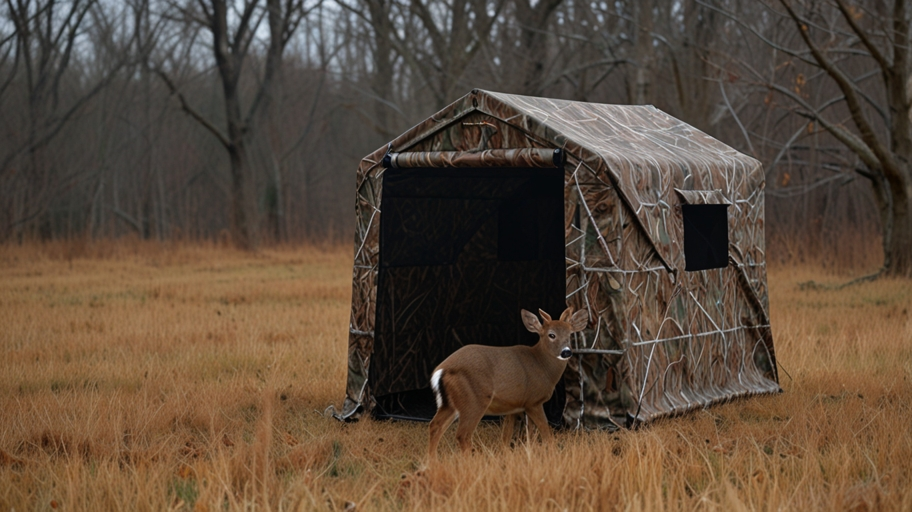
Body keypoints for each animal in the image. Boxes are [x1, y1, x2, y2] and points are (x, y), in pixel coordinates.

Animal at [426, 308, 588, 460]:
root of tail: (441, 370)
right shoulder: (533, 401)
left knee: (435, 426)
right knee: (462, 434)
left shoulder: (514, 406)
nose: (566, 352)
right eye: (551, 335)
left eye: (570, 335)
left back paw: (433, 462)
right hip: (473, 401)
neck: (542, 365)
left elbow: (509, 437)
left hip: (450, 404)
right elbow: (546, 433)